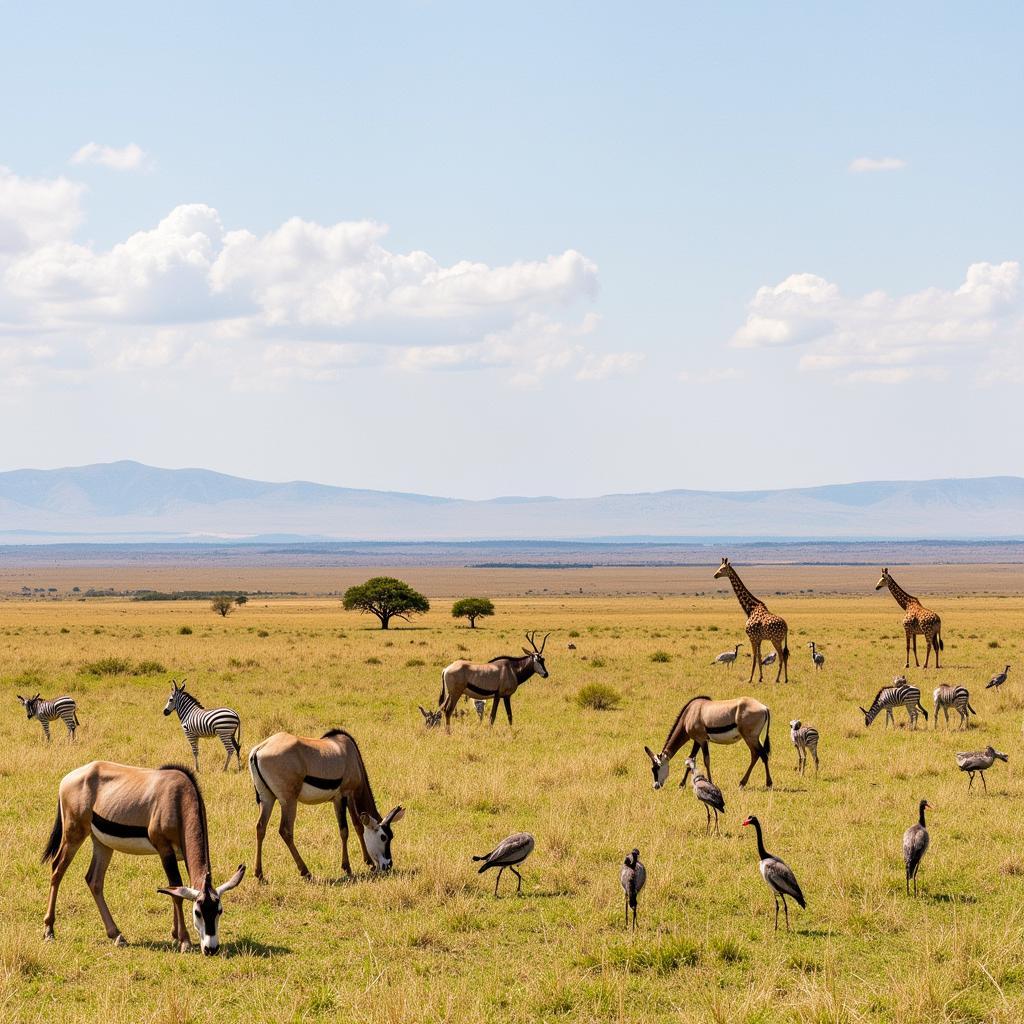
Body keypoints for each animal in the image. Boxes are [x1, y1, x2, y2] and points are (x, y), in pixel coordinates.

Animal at [40, 761, 245, 950]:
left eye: (219, 910)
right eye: (198, 912)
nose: (211, 949)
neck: (179, 799)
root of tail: (68, 779)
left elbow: (174, 888)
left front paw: (175, 934)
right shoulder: (164, 850)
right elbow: (176, 890)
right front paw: (184, 940)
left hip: (102, 844)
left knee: (94, 880)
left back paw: (117, 935)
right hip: (74, 835)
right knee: (57, 870)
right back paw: (49, 930)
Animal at [247, 729, 403, 880]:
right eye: (384, 837)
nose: (388, 865)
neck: (350, 752)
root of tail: (259, 749)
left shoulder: (336, 800)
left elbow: (347, 829)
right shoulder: (346, 795)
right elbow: (352, 827)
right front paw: (358, 865)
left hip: (267, 799)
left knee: (260, 827)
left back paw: (259, 874)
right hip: (289, 801)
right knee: (285, 831)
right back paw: (305, 871)